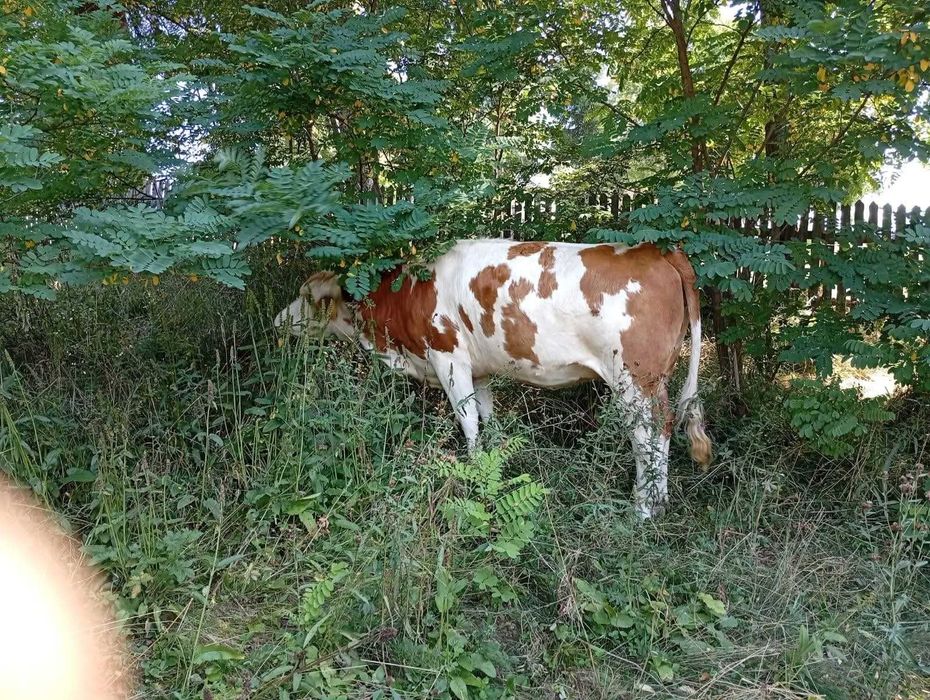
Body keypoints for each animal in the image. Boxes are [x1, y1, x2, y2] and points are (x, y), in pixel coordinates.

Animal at [274, 240, 711, 518]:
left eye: (306, 297)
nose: (278, 319)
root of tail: (656, 250)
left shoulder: (448, 358)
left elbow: (467, 421)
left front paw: (472, 473)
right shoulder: (479, 369)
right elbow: (489, 417)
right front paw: (495, 464)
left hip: (633, 377)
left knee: (647, 434)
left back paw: (643, 508)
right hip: (653, 377)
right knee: (664, 428)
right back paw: (659, 501)